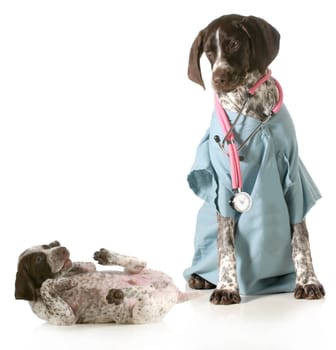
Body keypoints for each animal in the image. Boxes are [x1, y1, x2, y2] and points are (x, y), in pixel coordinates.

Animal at [14, 241, 196, 326]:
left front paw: (65, 277)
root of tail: (177, 292)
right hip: (142, 313)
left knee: (139, 264)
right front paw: (62, 281)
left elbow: (85, 266)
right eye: (38, 259)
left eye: (48, 246)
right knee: (145, 293)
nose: (62, 247)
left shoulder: (86, 267)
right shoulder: (64, 318)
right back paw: (120, 294)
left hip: (136, 278)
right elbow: (46, 285)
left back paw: (109, 259)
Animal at [182, 13, 324, 304]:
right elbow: (226, 246)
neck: (251, 106)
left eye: (234, 44)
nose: (218, 79)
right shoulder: (223, 185)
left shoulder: (293, 179)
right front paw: (227, 287)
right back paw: (201, 277)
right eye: (209, 53)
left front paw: (307, 281)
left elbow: (301, 239)